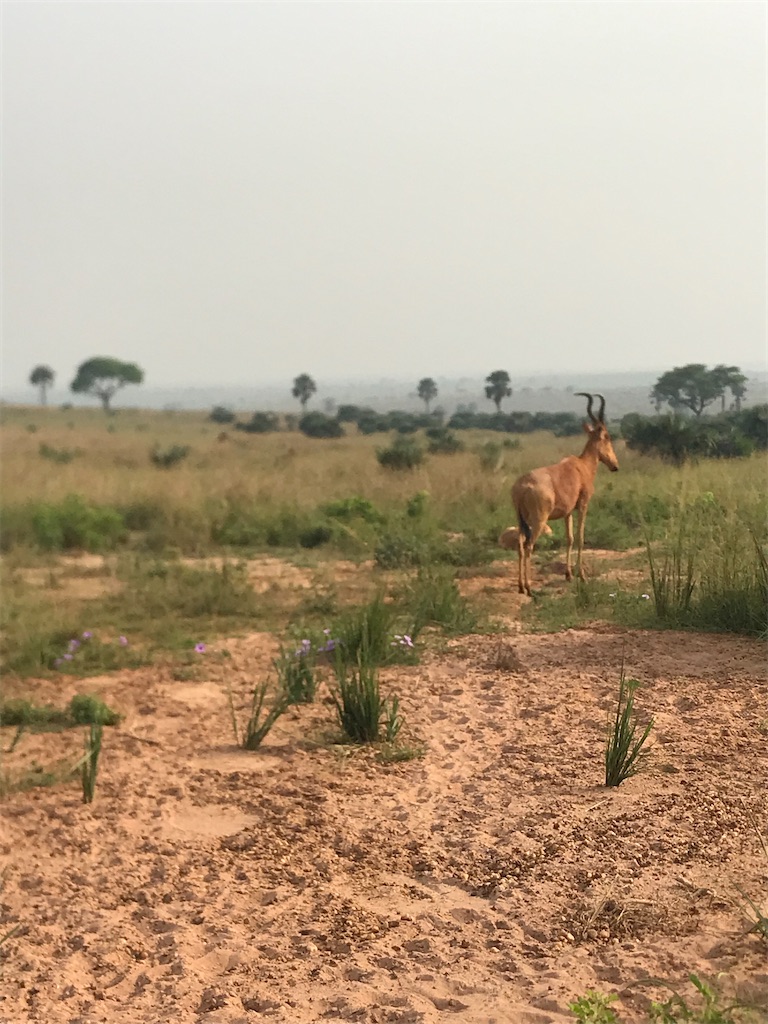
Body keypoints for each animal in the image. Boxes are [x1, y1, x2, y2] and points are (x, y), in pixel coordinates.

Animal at [512, 393, 618, 598]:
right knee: (529, 547)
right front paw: (582, 577)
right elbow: (580, 537)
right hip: (538, 520)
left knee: (520, 547)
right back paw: (529, 588)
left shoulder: (567, 512)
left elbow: (569, 538)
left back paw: (520, 586)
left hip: (521, 520)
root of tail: (523, 486)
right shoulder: (583, 505)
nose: (615, 466)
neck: (581, 466)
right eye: (607, 436)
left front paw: (568, 575)